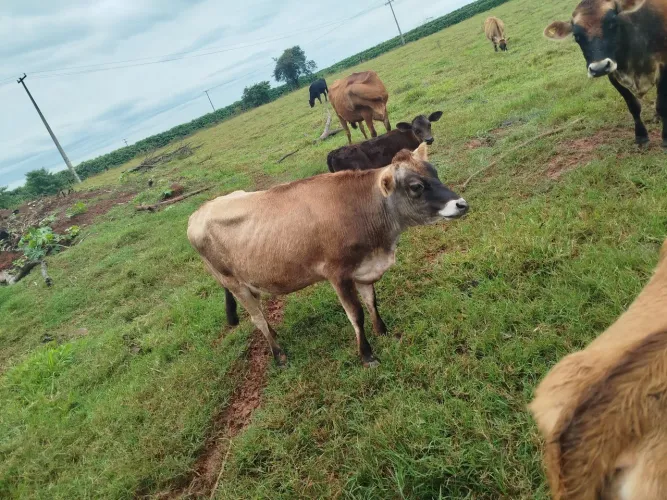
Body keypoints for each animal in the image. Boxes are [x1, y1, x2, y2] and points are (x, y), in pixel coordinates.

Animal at [187, 144, 469, 367]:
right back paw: (278, 355)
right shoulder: (337, 273)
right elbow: (356, 313)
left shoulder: (363, 268)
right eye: (416, 186)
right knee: (257, 318)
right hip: (232, 282)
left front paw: (383, 331)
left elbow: (371, 301)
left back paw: (276, 337)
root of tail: (199, 212)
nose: (461, 204)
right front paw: (367, 355)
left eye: (435, 173)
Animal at [544, 0, 667, 147]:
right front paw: (641, 136)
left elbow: (661, 104)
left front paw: (665, 137)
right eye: (576, 36)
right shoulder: (613, 75)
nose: (599, 68)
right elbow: (633, 106)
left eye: (613, 23)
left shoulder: (664, 65)